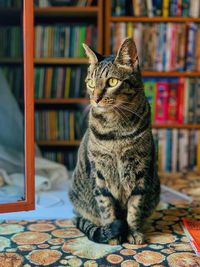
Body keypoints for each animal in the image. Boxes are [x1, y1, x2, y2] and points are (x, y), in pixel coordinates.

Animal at [69, 37, 160, 245]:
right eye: (91, 83)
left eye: (112, 82)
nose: (95, 99)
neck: (116, 132)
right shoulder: (100, 172)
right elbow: (106, 207)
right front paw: (113, 234)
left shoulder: (140, 170)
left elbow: (134, 208)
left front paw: (133, 232)